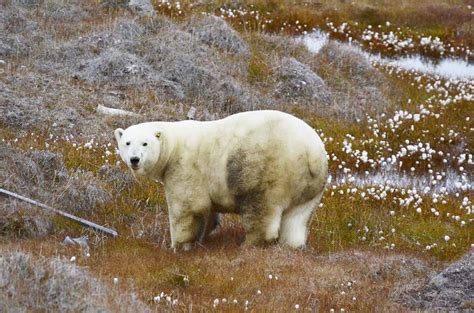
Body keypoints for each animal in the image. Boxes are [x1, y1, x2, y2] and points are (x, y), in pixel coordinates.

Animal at [116, 109, 328, 249]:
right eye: (127, 142)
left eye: (145, 143)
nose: (134, 159)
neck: (173, 146)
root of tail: (313, 153)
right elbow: (207, 210)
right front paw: (204, 235)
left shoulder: (184, 167)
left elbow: (188, 207)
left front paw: (178, 246)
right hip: (311, 185)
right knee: (298, 218)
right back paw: (291, 245)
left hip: (267, 171)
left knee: (260, 209)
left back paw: (248, 244)